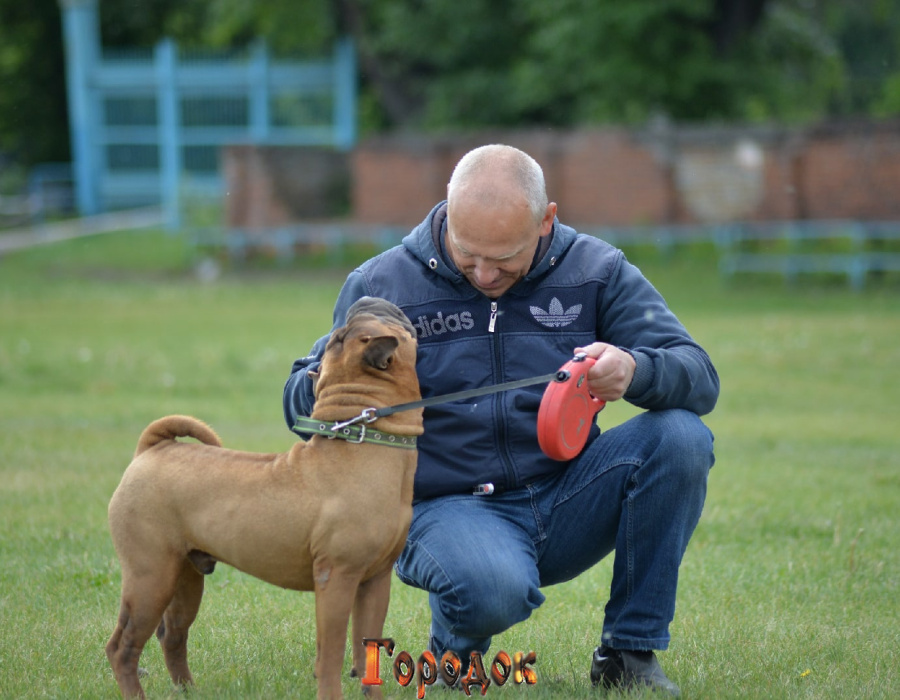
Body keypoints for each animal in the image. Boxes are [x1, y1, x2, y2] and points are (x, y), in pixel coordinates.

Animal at [107, 298, 424, 696]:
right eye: (348, 331)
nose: (364, 300)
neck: (365, 436)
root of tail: (153, 449)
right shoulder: (336, 578)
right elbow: (331, 653)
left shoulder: (375, 582)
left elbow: (369, 650)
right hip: (149, 576)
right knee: (123, 647)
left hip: (184, 577)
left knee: (173, 636)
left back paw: (189, 690)